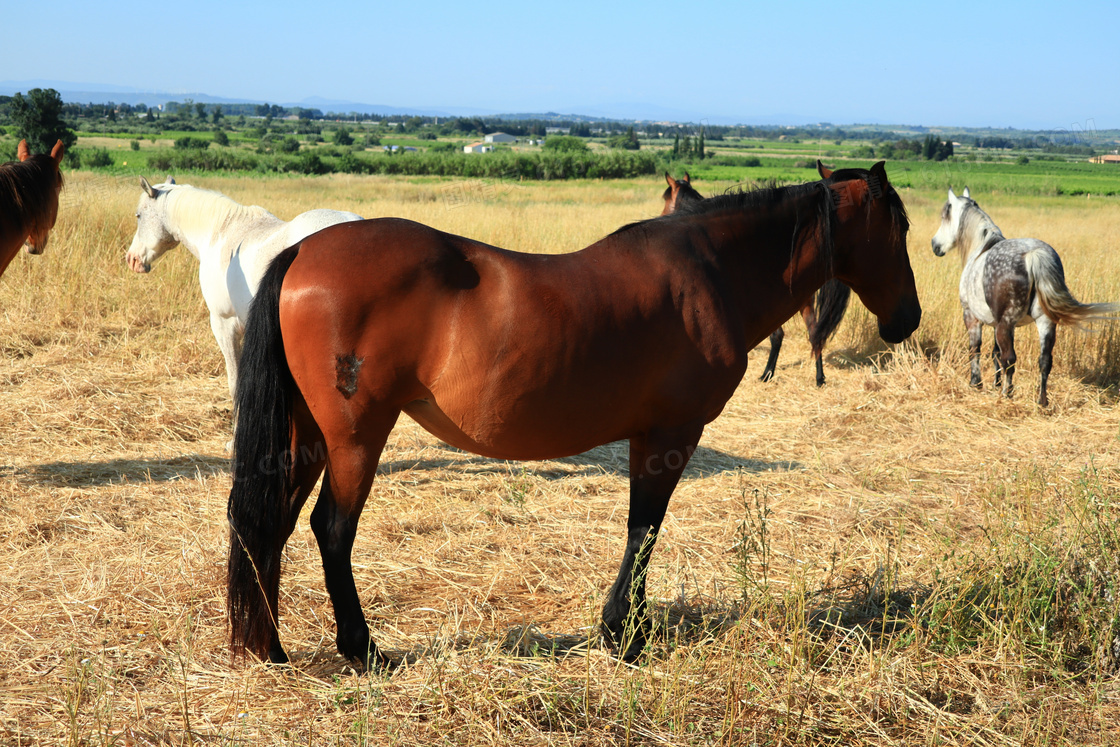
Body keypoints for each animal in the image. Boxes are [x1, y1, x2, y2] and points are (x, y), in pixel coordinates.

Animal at [658, 163, 851, 385]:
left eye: (666, 201)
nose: (661, 216)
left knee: (782, 334)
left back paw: (768, 373)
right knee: (814, 332)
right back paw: (817, 377)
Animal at [931, 190, 1115, 405]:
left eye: (945, 217)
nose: (935, 245)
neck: (980, 248)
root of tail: (1032, 255)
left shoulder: (972, 317)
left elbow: (975, 350)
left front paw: (976, 384)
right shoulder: (996, 324)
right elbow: (995, 354)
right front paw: (995, 384)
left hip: (1007, 324)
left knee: (1010, 359)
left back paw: (1007, 395)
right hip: (1044, 322)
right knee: (1044, 361)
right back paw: (1042, 401)